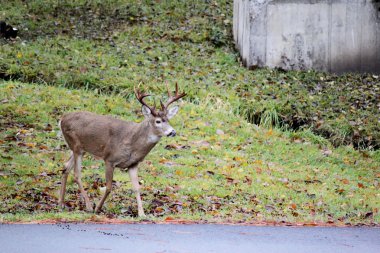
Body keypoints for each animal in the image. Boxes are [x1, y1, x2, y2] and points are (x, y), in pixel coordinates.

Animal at [57, 84, 186, 216]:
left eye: (168, 120)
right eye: (158, 121)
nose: (172, 132)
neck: (133, 143)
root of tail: (62, 119)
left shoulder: (133, 164)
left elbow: (136, 188)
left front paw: (142, 214)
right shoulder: (109, 158)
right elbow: (109, 187)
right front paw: (98, 208)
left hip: (79, 149)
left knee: (65, 167)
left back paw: (61, 203)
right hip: (76, 145)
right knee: (77, 174)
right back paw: (88, 206)